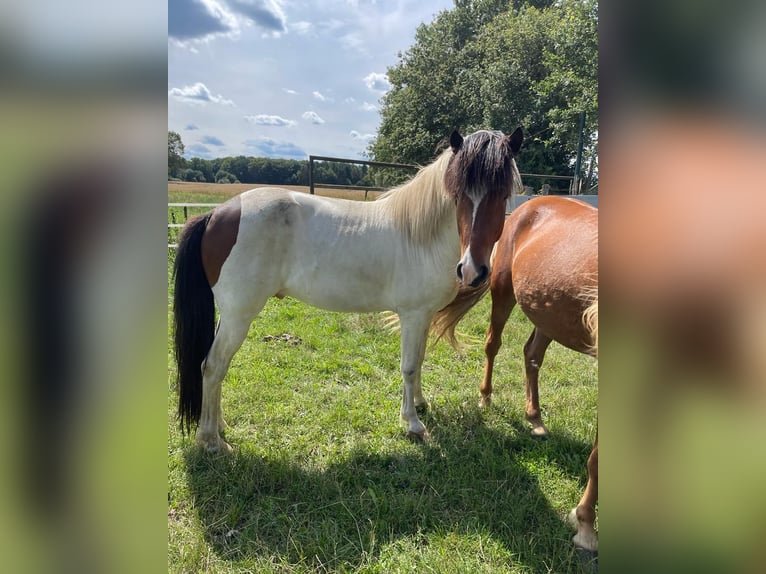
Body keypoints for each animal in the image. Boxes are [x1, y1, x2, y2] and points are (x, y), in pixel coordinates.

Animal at [172, 128, 528, 452]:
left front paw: (420, 403)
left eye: (501, 195)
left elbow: (420, 359)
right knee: (212, 366)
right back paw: (212, 441)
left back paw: (219, 426)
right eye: (459, 195)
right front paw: (413, 423)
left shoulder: (424, 316)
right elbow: (409, 366)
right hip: (239, 316)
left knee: (215, 368)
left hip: (230, 315)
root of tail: (217, 213)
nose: (472, 270)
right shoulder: (413, 315)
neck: (420, 236)